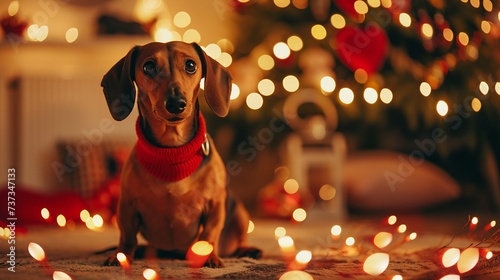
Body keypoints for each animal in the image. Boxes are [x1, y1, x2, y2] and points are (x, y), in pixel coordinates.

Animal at [102, 41, 262, 266]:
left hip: (239, 211)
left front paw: (210, 257)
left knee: (238, 240)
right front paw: (121, 256)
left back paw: (248, 250)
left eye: (191, 65)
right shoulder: (127, 204)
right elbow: (127, 236)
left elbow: (209, 235)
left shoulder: (215, 206)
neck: (173, 152)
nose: (176, 103)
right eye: (148, 66)